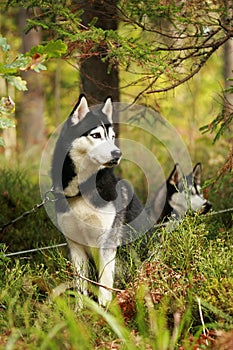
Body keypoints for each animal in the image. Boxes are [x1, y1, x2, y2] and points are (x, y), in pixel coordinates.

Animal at [51, 94, 149, 304]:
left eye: (112, 137)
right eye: (95, 136)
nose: (117, 154)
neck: (82, 191)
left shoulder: (107, 243)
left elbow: (104, 284)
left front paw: (104, 310)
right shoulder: (75, 246)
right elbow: (81, 285)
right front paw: (81, 310)